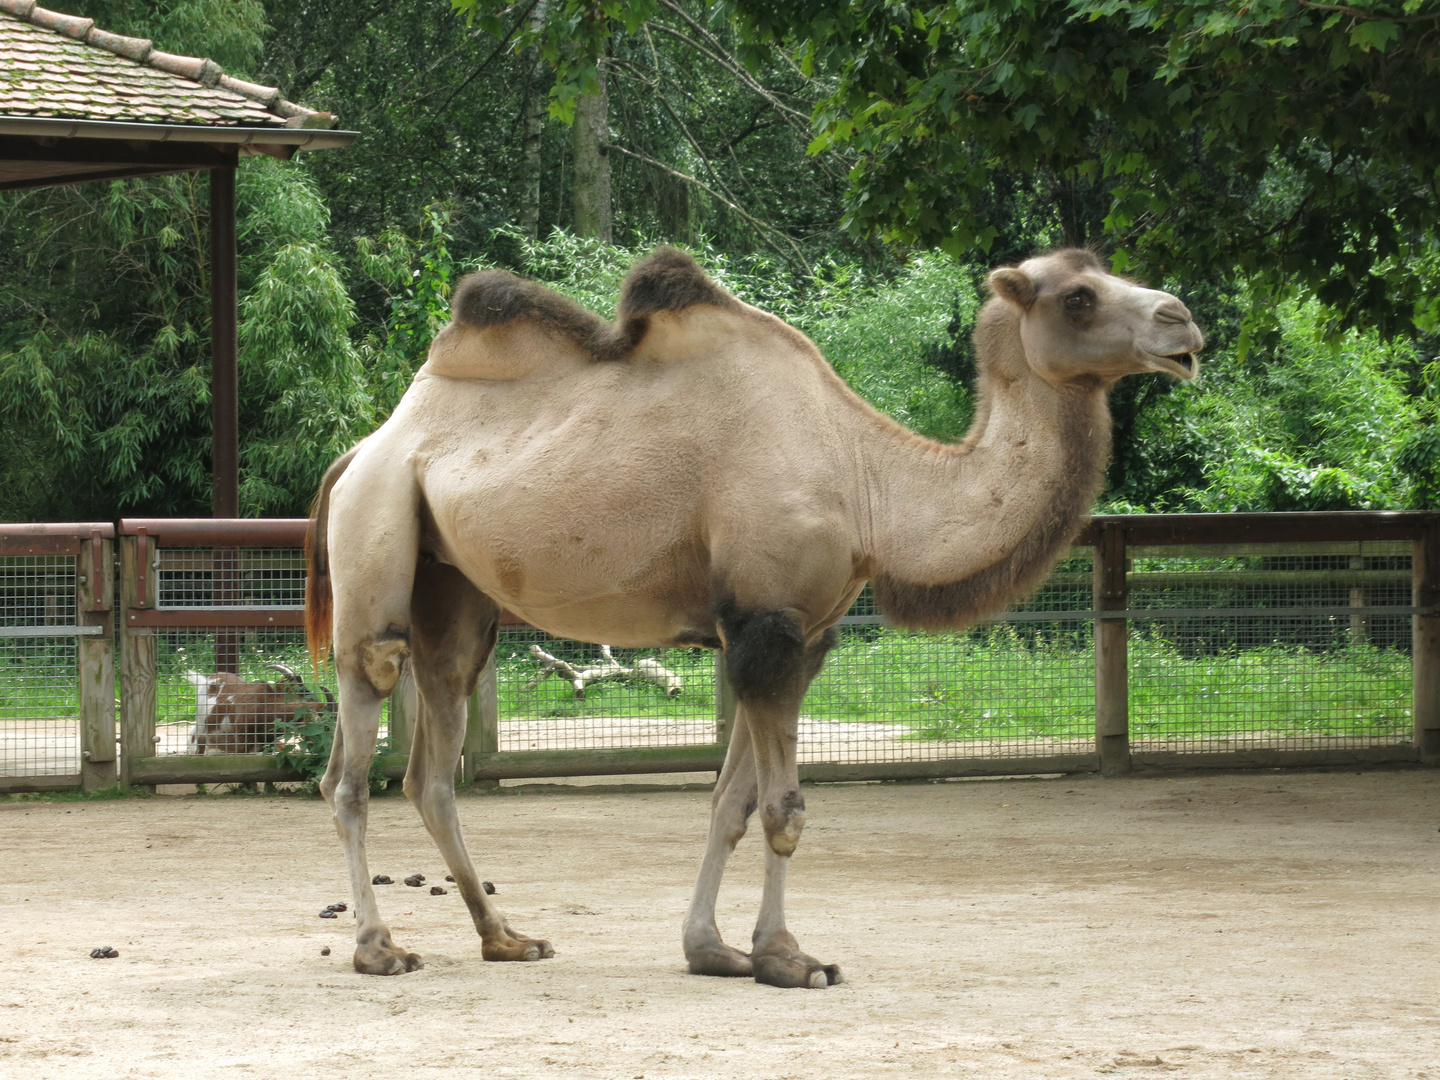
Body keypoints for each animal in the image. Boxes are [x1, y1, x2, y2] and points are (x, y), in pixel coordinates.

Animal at [306, 244, 1203, 990]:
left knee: (432, 761)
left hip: (452, 592)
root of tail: (362, 448)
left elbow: (730, 804)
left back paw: (506, 937)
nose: (1182, 319)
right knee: (352, 749)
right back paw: (379, 949)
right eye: (1078, 297)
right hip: (376, 532)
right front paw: (788, 958)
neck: (868, 481)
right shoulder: (766, 624)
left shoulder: (797, 635)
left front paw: (716, 949)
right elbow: (784, 809)